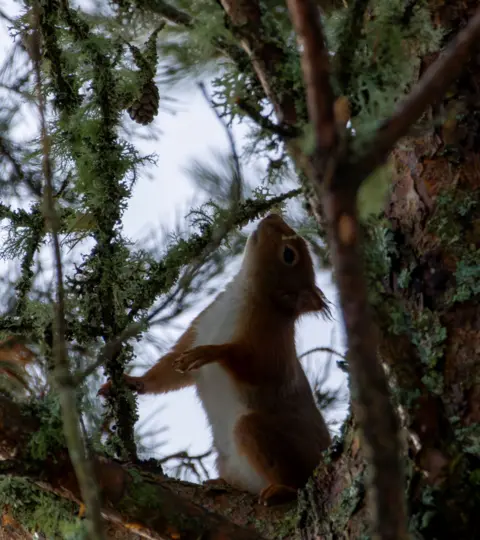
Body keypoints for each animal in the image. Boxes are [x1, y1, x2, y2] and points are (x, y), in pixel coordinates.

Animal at [99, 214, 332, 506]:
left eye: (288, 255)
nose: (272, 216)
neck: (240, 295)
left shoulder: (272, 345)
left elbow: (257, 367)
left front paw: (210, 352)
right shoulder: (200, 327)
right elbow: (171, 371)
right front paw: (132, 382)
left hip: (265, 437)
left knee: (294, 477)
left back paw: (281, 490)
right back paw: (223, 484)